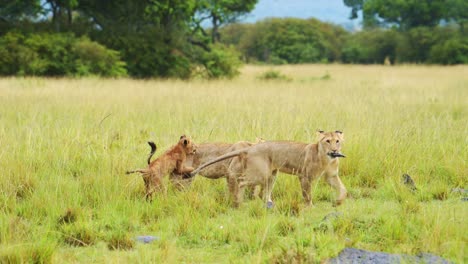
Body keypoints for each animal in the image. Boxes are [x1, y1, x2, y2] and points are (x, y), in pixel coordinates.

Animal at [191, 131, 348, 207]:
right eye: (327, 141)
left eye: (337, 141)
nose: (335, 150)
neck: (327, 158)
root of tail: (251, 147)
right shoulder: (304, 176)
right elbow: (307, 195)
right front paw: (310, 207)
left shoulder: (331, 176)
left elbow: (343, 189)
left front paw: (338, 202)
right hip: (262, 173)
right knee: (241, 181)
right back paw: (238, 202)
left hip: (272, 173)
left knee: (263, 194)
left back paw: (267, 203)